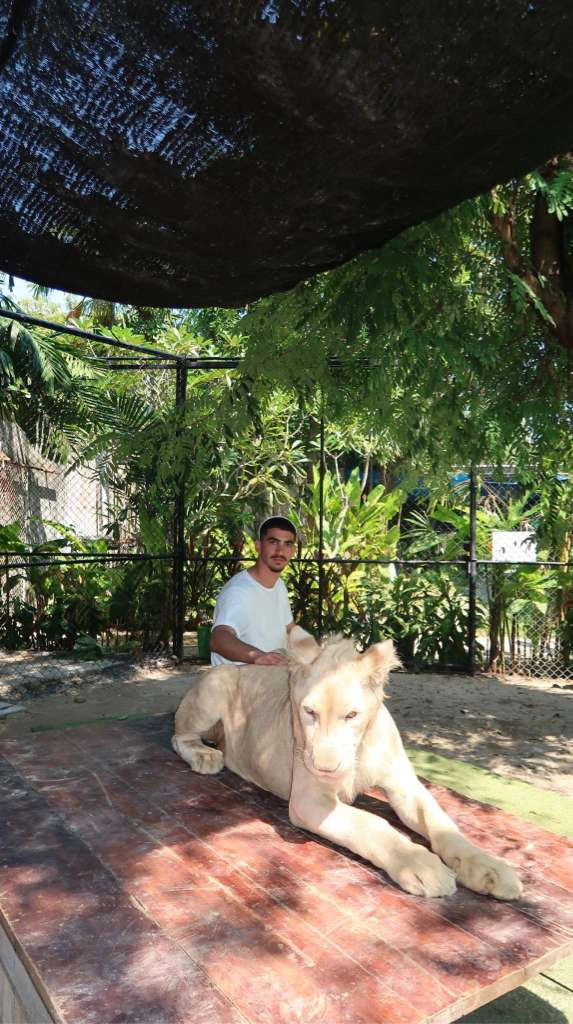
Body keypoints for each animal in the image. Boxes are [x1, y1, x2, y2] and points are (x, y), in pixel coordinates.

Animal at [172, 626, 522, 900]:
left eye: (352, 715)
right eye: (309, 711)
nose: (325, 768)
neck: (358, 750)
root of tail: (237, 667)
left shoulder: (405, 785)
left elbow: (443, 824)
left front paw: (489, 868)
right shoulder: (309, 799)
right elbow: (371, 824)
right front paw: (421, 866)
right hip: (215, 687)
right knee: (178, 737)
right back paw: (206, 755)